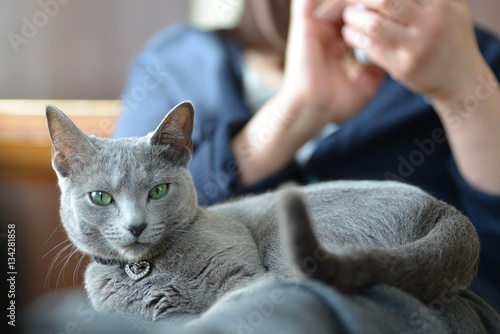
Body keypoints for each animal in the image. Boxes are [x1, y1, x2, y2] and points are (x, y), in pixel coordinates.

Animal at [47, 101, 480, 324]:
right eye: (101, 197)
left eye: (158, 191)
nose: (136, 225)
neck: (145, 270)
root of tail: (445, 209)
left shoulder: (250, 279)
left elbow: (220, 309)